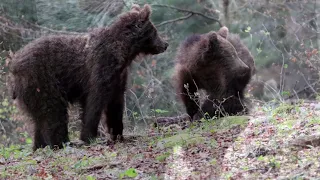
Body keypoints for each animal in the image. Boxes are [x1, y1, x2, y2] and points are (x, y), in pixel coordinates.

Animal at [8, 4, 168, 150]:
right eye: (155, 31)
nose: (165, 44)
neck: (123, 52)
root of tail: (14, 67)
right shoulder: (100, 68)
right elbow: (94, 102)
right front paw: (89, 136)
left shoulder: (118, 77)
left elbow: (115, 105)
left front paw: (118, 134)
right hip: (42, 81)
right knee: (54, 112)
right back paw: (62, 142)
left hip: (32, 93)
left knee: (40, 118)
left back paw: (39, 145)